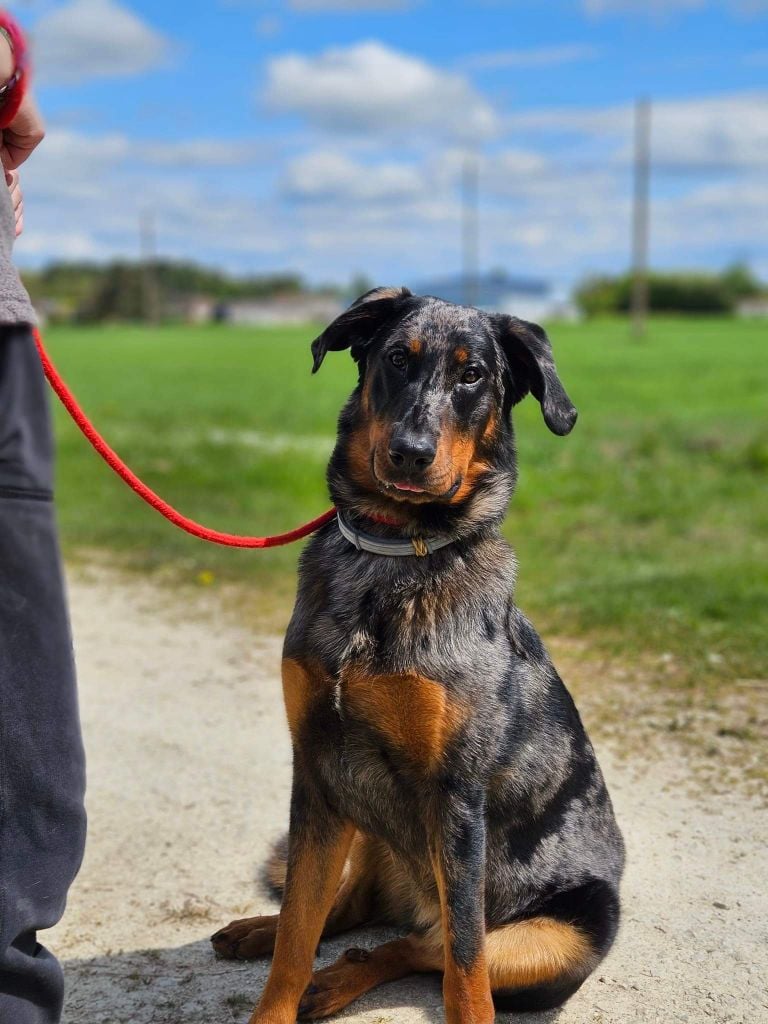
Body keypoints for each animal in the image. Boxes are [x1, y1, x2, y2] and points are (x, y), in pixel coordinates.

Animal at [211, 288, 626, 1024]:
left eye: (473, 376)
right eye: (397, 359)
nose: (410, 453)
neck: (391, 553)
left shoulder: (455, 798)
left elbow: (465, 966)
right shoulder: (318, 771)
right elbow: (297, 933)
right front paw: (277, 986)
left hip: (565, 936)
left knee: (426, 943)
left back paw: (341, 978)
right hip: (362, 817)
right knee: (348, 911)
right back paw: (270, 937)